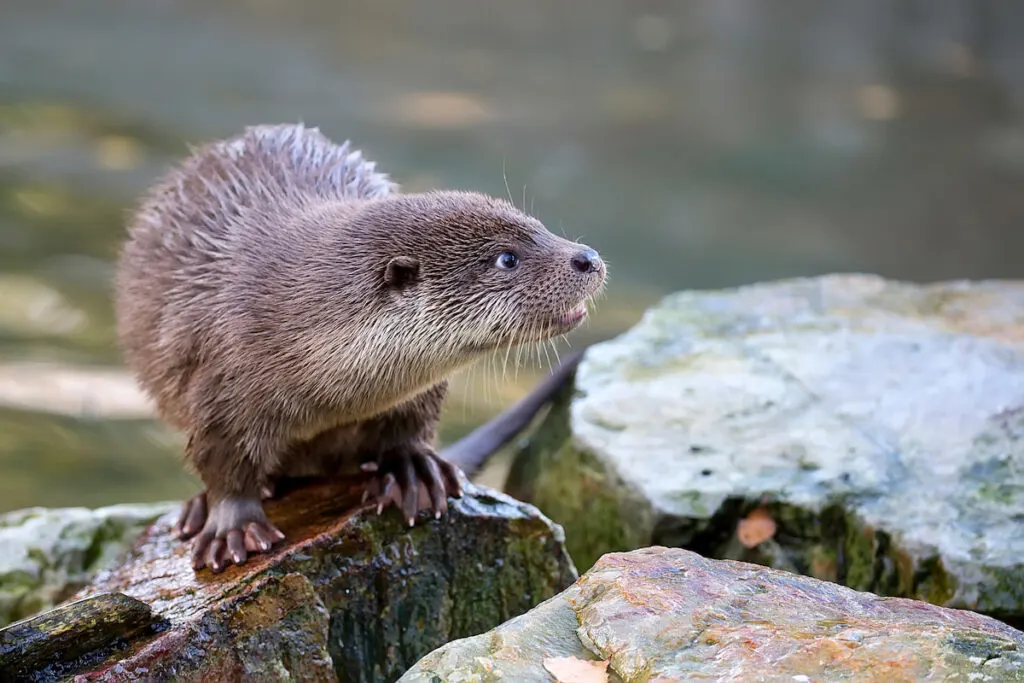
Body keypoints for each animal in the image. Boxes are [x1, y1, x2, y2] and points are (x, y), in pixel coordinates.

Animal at [116, 122, 602, 573]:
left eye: (540, 228)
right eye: (507, 258)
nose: (589, 257)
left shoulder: (418, 388)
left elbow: (412, 422)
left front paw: (411, 467)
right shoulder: (221, 380)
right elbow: (222, 461)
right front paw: (231, 527)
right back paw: (197, 508)